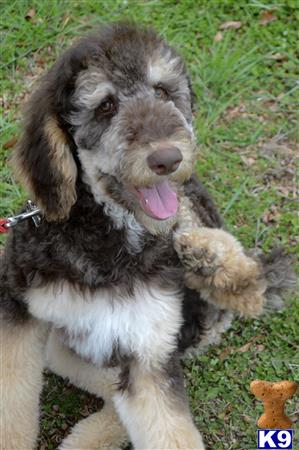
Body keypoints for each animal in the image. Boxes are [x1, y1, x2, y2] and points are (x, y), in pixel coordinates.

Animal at [0, 22, 296, 450]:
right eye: (105, 106)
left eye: (162, 92)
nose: (168, 159)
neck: (109, 240)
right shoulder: (19, 311)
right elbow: (12, 405)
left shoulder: (149, 349)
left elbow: (170, 430)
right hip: (66, 348)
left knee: (244, 283)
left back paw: (208, 258)